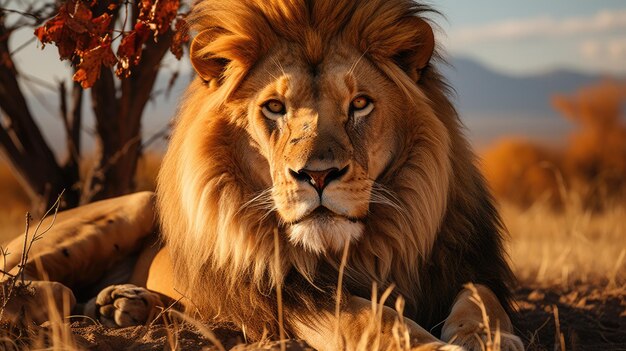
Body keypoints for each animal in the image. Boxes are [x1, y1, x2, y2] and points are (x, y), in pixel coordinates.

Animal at [2, 0, 524, 351]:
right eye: (274, 107)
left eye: (360, 104)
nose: (318, 176)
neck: (372, 247)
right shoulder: (294, 296)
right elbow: (374, 320)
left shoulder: (464, 263)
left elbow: (482, 296)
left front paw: (489, 337)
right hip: (131, 207)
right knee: (16, 277)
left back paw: (124, 302)